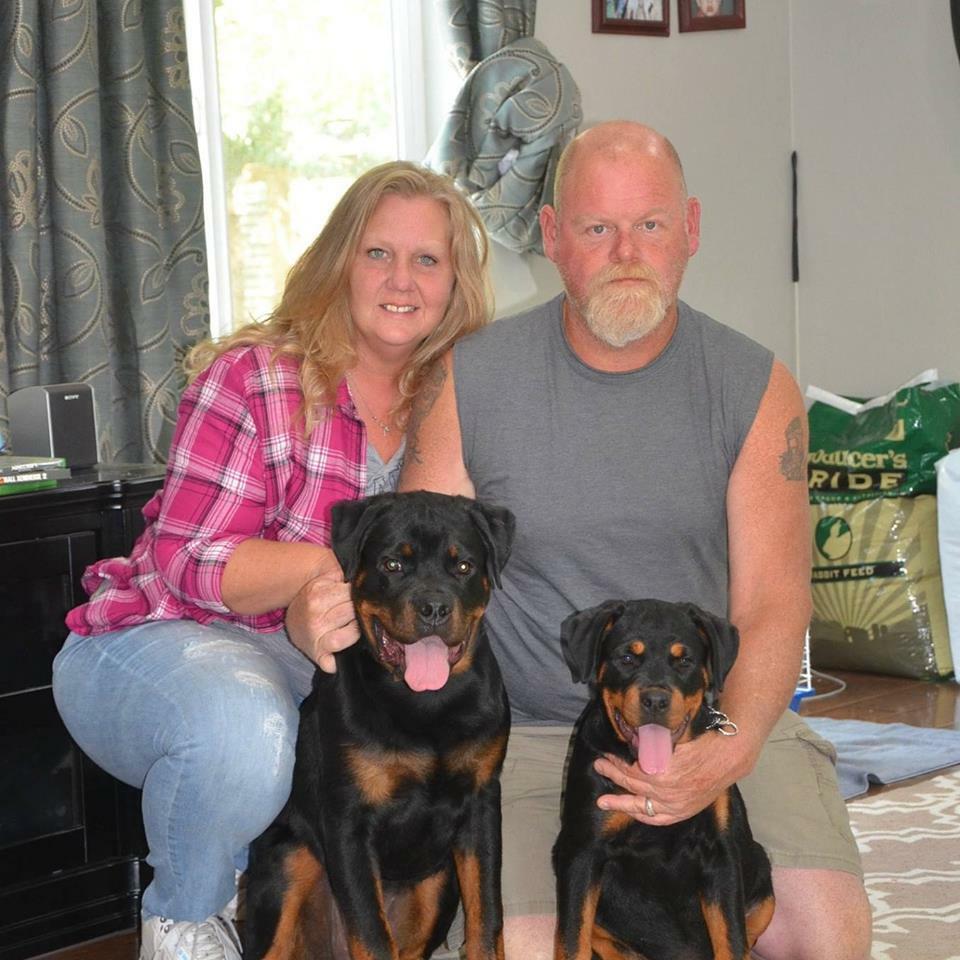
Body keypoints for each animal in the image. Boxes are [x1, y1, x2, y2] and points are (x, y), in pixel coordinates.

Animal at [244, 491, 515, 960]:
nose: (433, 608)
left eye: (464, 566)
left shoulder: (481, 802)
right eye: (392, 564)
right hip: (286, 861)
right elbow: (371, 934)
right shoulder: (349, 819)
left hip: (436, 884)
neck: (426, 705)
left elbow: (486, 914)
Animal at [553, 599, 775, 960]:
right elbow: (573, 940)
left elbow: (731, 939)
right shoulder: (582, 851)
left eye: (684, 660)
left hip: (760, 869)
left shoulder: (720, 853)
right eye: (627, 658)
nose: (655, 700)